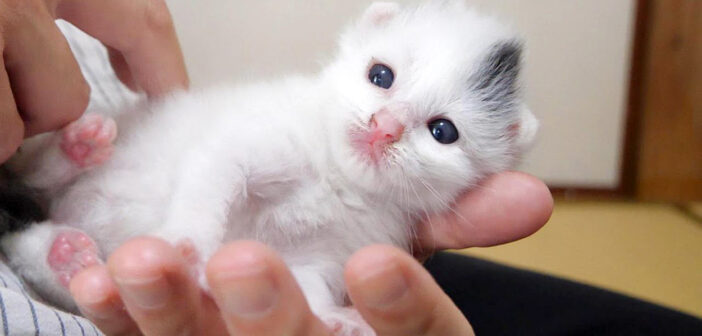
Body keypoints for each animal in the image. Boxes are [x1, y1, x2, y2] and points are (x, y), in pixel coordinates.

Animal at [2, 1, 540, 334]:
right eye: (380, 76)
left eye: (443, 131)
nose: (383, 126)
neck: (338, 180)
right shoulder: (243, 144)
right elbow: (211, 182)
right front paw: (189, 244)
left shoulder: (323, 255)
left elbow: (307, 285)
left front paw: (337, 320)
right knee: (36, 177)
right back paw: (77, 148)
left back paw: (67, 254)